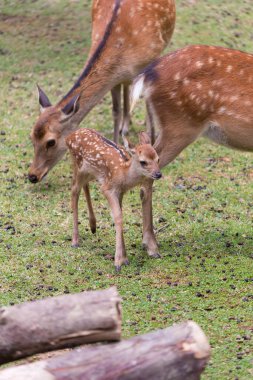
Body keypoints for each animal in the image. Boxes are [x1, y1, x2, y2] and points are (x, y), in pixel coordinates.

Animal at [28, 0, 176, 184]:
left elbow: (148, 106)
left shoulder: (148, 67)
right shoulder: (113, 79)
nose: (32, 175)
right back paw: (126, 126)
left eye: (51, 142)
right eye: (31, 136)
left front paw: (152, 142)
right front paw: (115, 145)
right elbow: (115, 111)